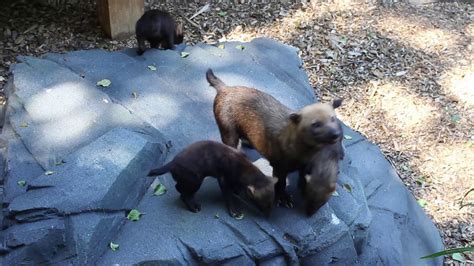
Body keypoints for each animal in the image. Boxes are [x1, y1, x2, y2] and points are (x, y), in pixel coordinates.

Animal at [148, 140, 278, 217]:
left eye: (271, 202)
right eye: (263, 203)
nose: (268, 215)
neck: (241, 165)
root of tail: (172, 163)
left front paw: (237, 191)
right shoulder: (224, 179)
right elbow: (228, 196)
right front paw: (235, 212)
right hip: (195, 180)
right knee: (182, 193)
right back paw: (194, 207)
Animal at [206, 69, 342, 208]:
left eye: (333, 118)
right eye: (315, 124)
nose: (335, 134)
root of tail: (225, 88)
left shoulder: (305, 167)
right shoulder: (279, 167)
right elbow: (281, 184)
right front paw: (284, 199)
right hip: (229, 133)